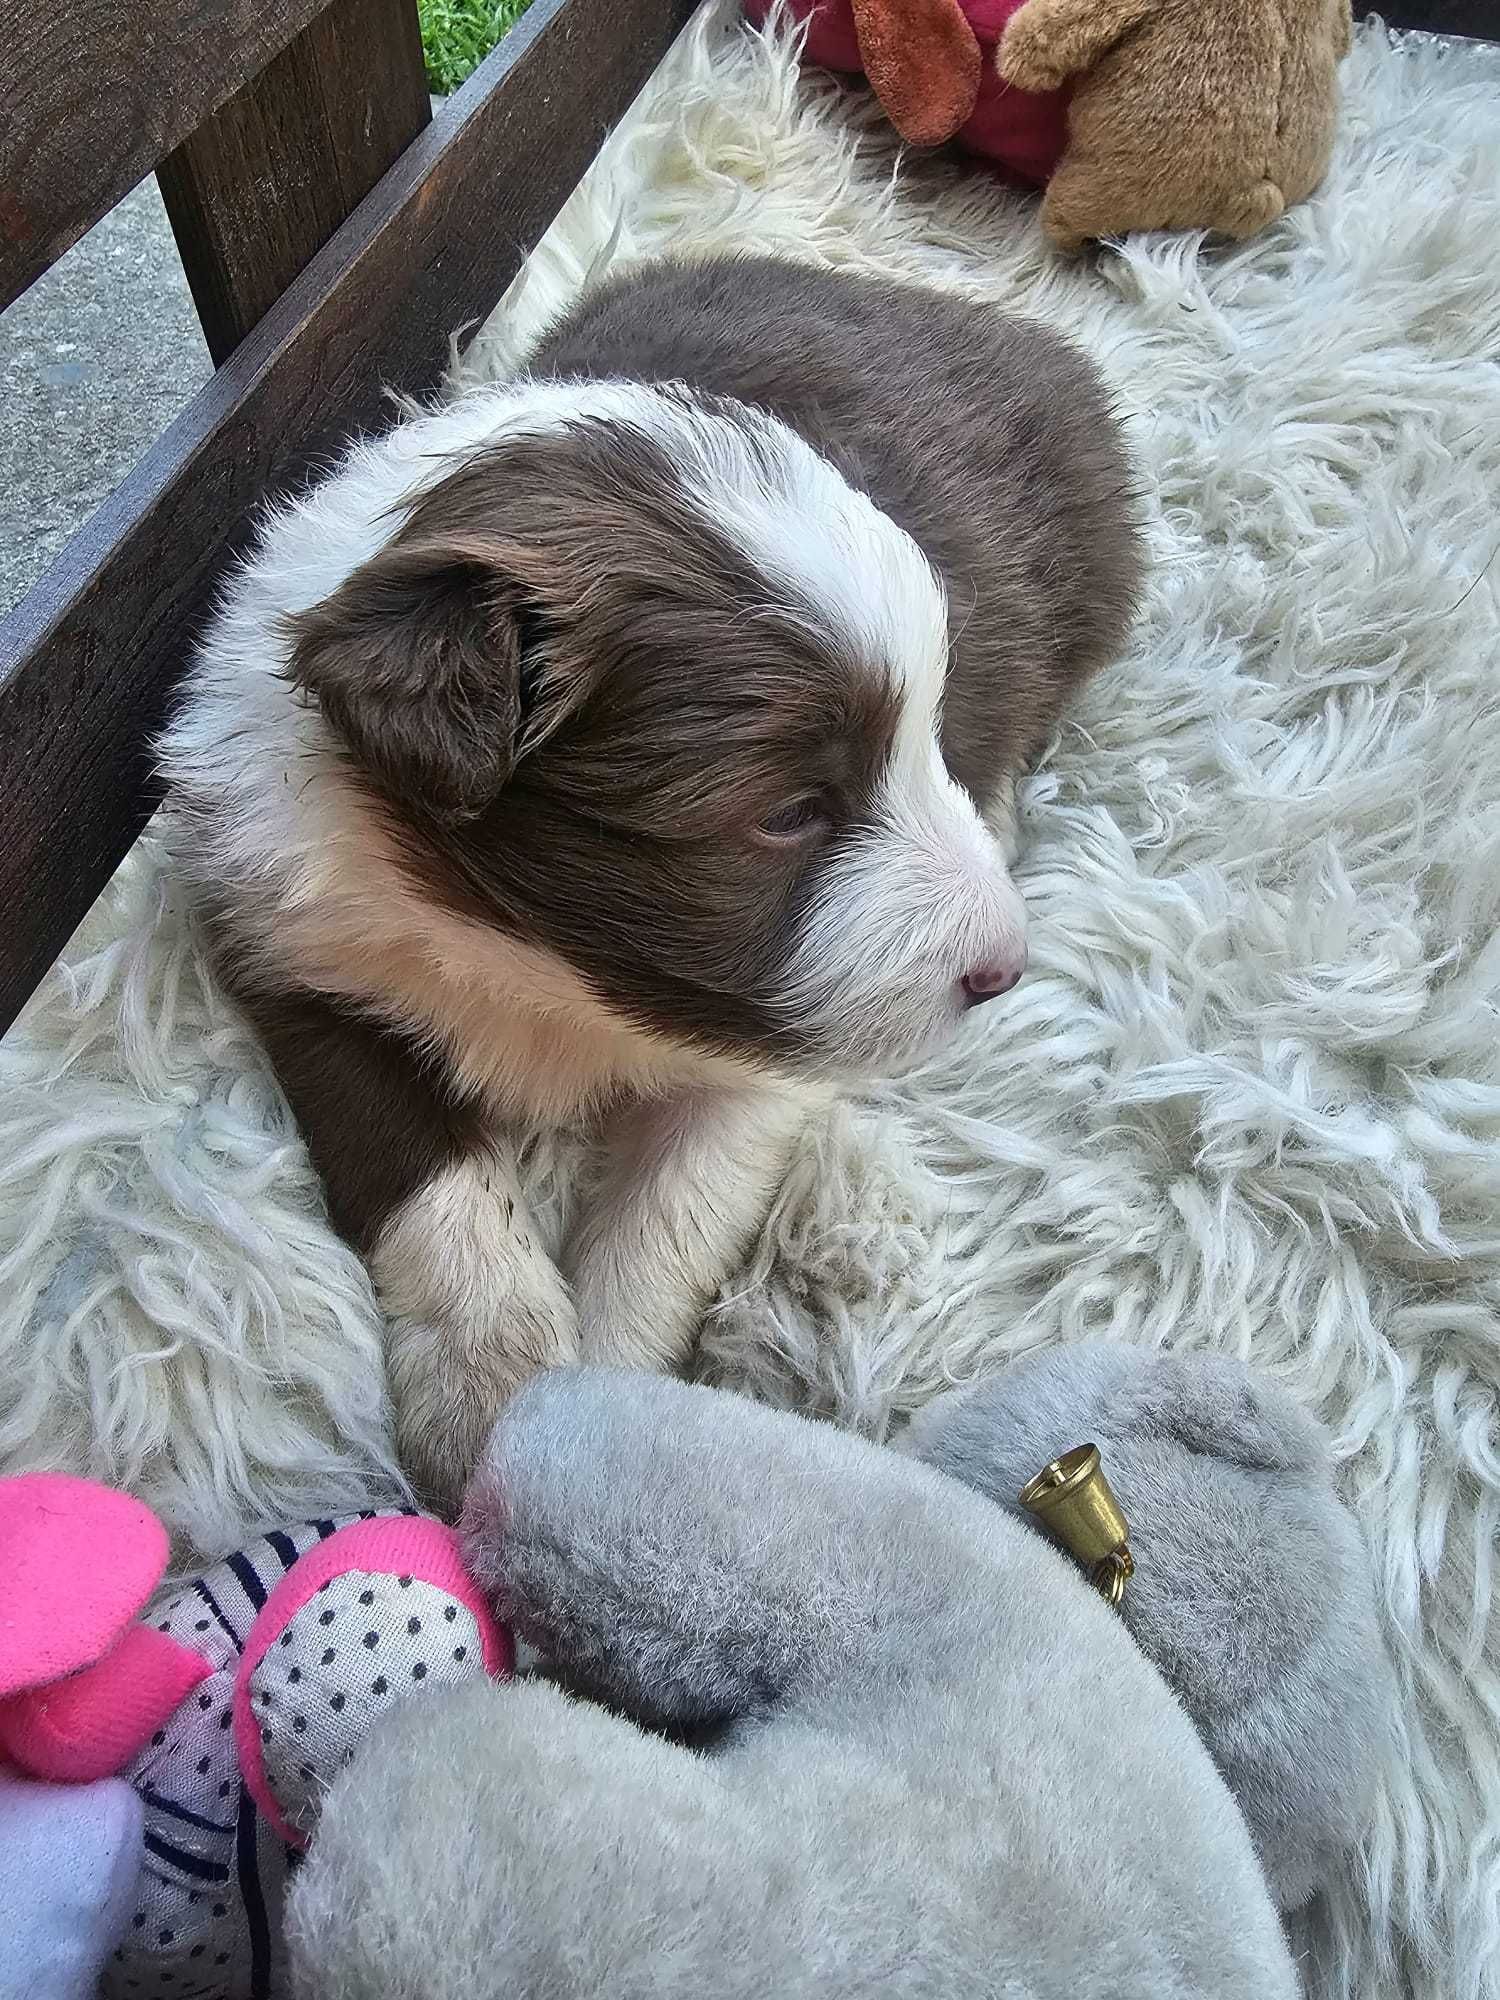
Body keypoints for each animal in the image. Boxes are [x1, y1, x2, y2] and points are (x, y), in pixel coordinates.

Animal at [159, 254, 1136, 1504]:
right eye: (788, 813)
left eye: (927, 735)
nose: (1002, 967)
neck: (537, 960)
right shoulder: (301, 947)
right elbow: (421, 1178)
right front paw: (487, 1372)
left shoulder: (758, 1057)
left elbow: (667, 1219)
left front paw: (601, 1422)